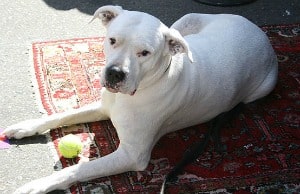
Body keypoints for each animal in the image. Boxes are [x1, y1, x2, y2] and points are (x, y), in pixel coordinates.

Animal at [2, 5, 278, 194]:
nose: (115, 73)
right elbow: (63, 115)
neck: (142, 88)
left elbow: (82, 168)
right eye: (112, 40)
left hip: (261, 89)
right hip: (185, 21)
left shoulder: (132, 155)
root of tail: (259, 33)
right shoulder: (103, 105)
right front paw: (25, 127)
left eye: (145, 53)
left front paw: (38, 185)